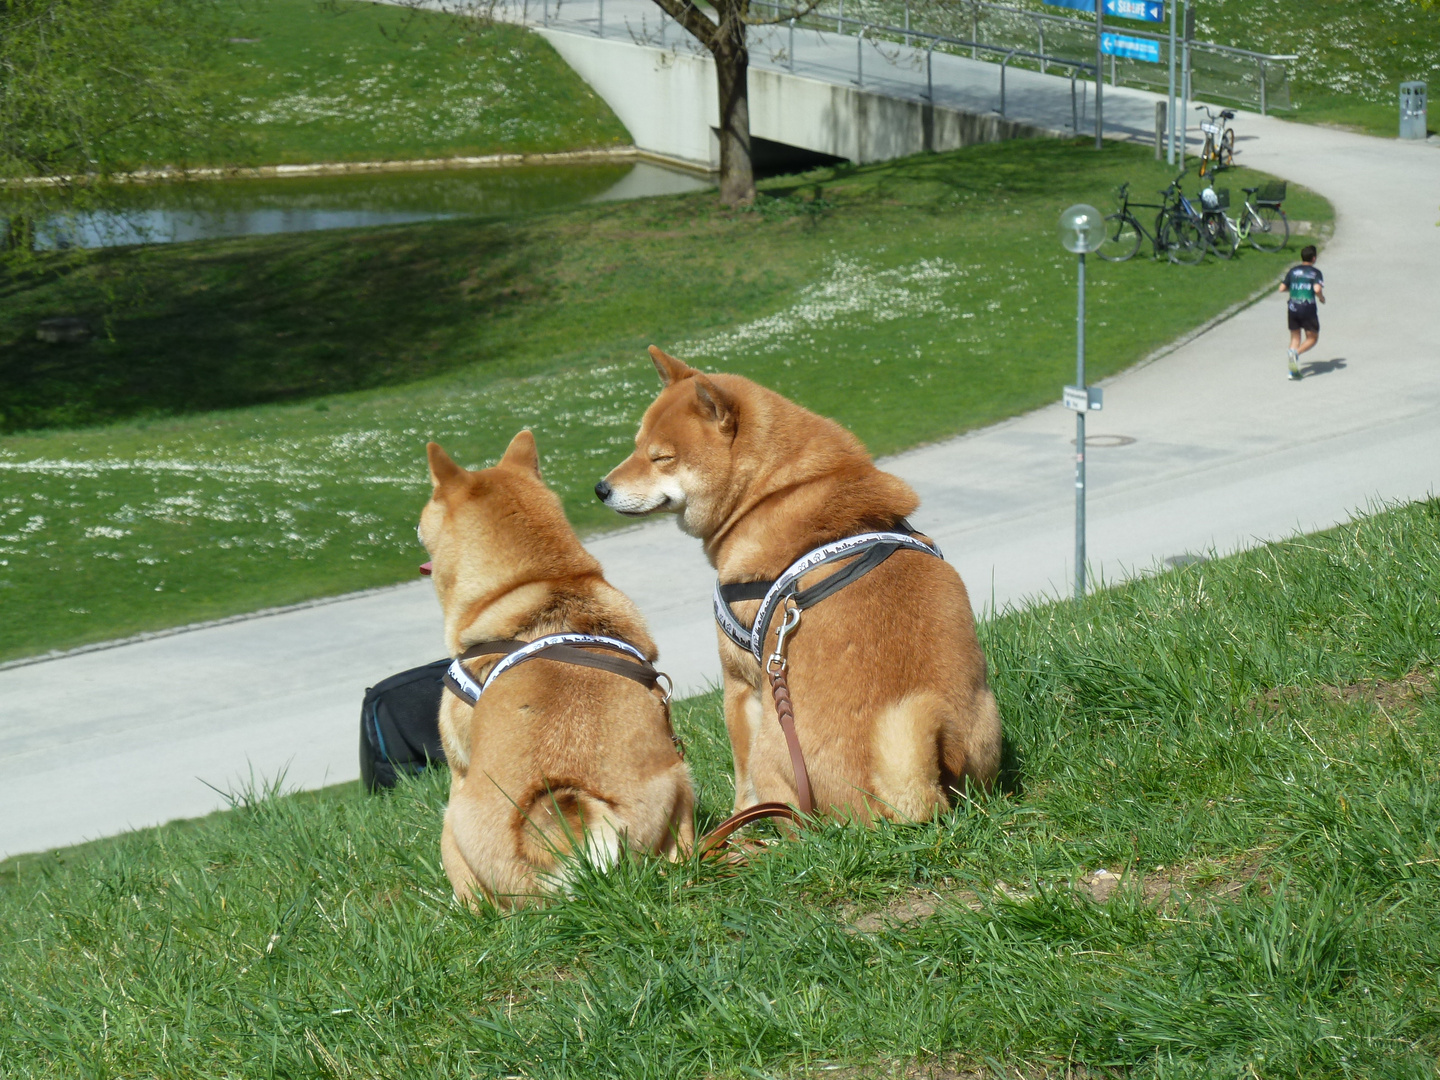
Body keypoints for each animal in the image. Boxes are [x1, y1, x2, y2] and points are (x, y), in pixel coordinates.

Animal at [596, 351, 1002, 823]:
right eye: (636, 445)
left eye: (662, 457)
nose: (600, 488)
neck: (775, 490)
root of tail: (903, 802)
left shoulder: (739, 684)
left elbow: (742, 785)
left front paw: (740, 821)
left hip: (773, 746)